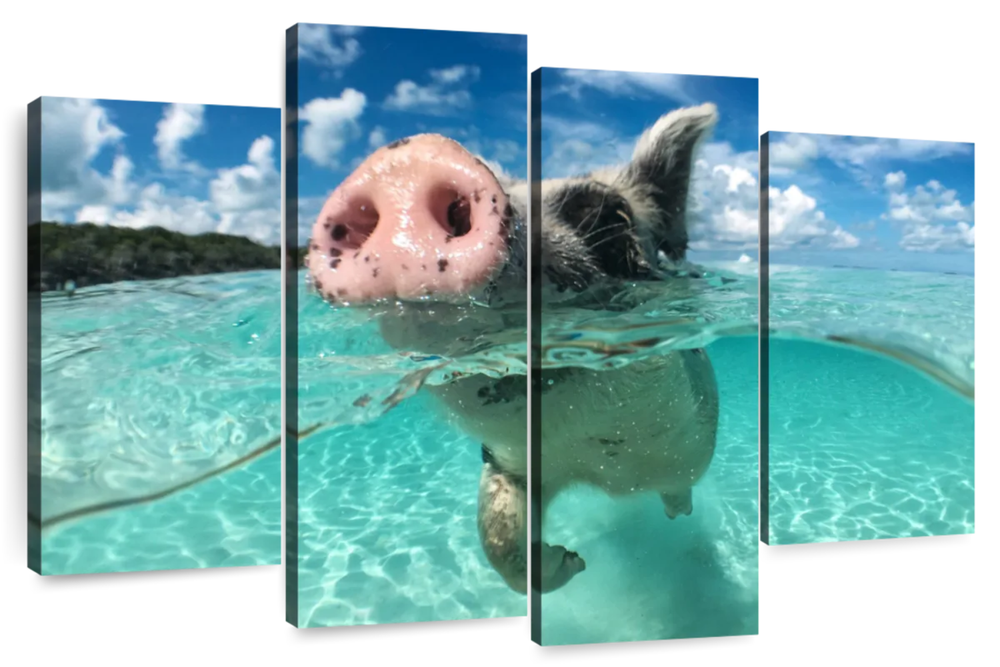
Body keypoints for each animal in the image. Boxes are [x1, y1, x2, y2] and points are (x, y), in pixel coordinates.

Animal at [305, 103, 721, 595]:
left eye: (606, 216)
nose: (407, 162)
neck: (599, 465)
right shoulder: (507, 461)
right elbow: (498, 535)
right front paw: (573, 562)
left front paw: (578, 560)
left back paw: (679, 513)